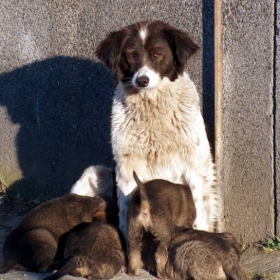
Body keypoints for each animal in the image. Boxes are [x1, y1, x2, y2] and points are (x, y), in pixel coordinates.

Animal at [76, 20, 219, 237]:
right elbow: (126, 211)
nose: (142, 80)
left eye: (157, 54)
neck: (152, 105)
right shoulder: (127, 166)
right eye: (131, 55)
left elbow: (200, 210)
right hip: (93, 174)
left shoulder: (196, 164)